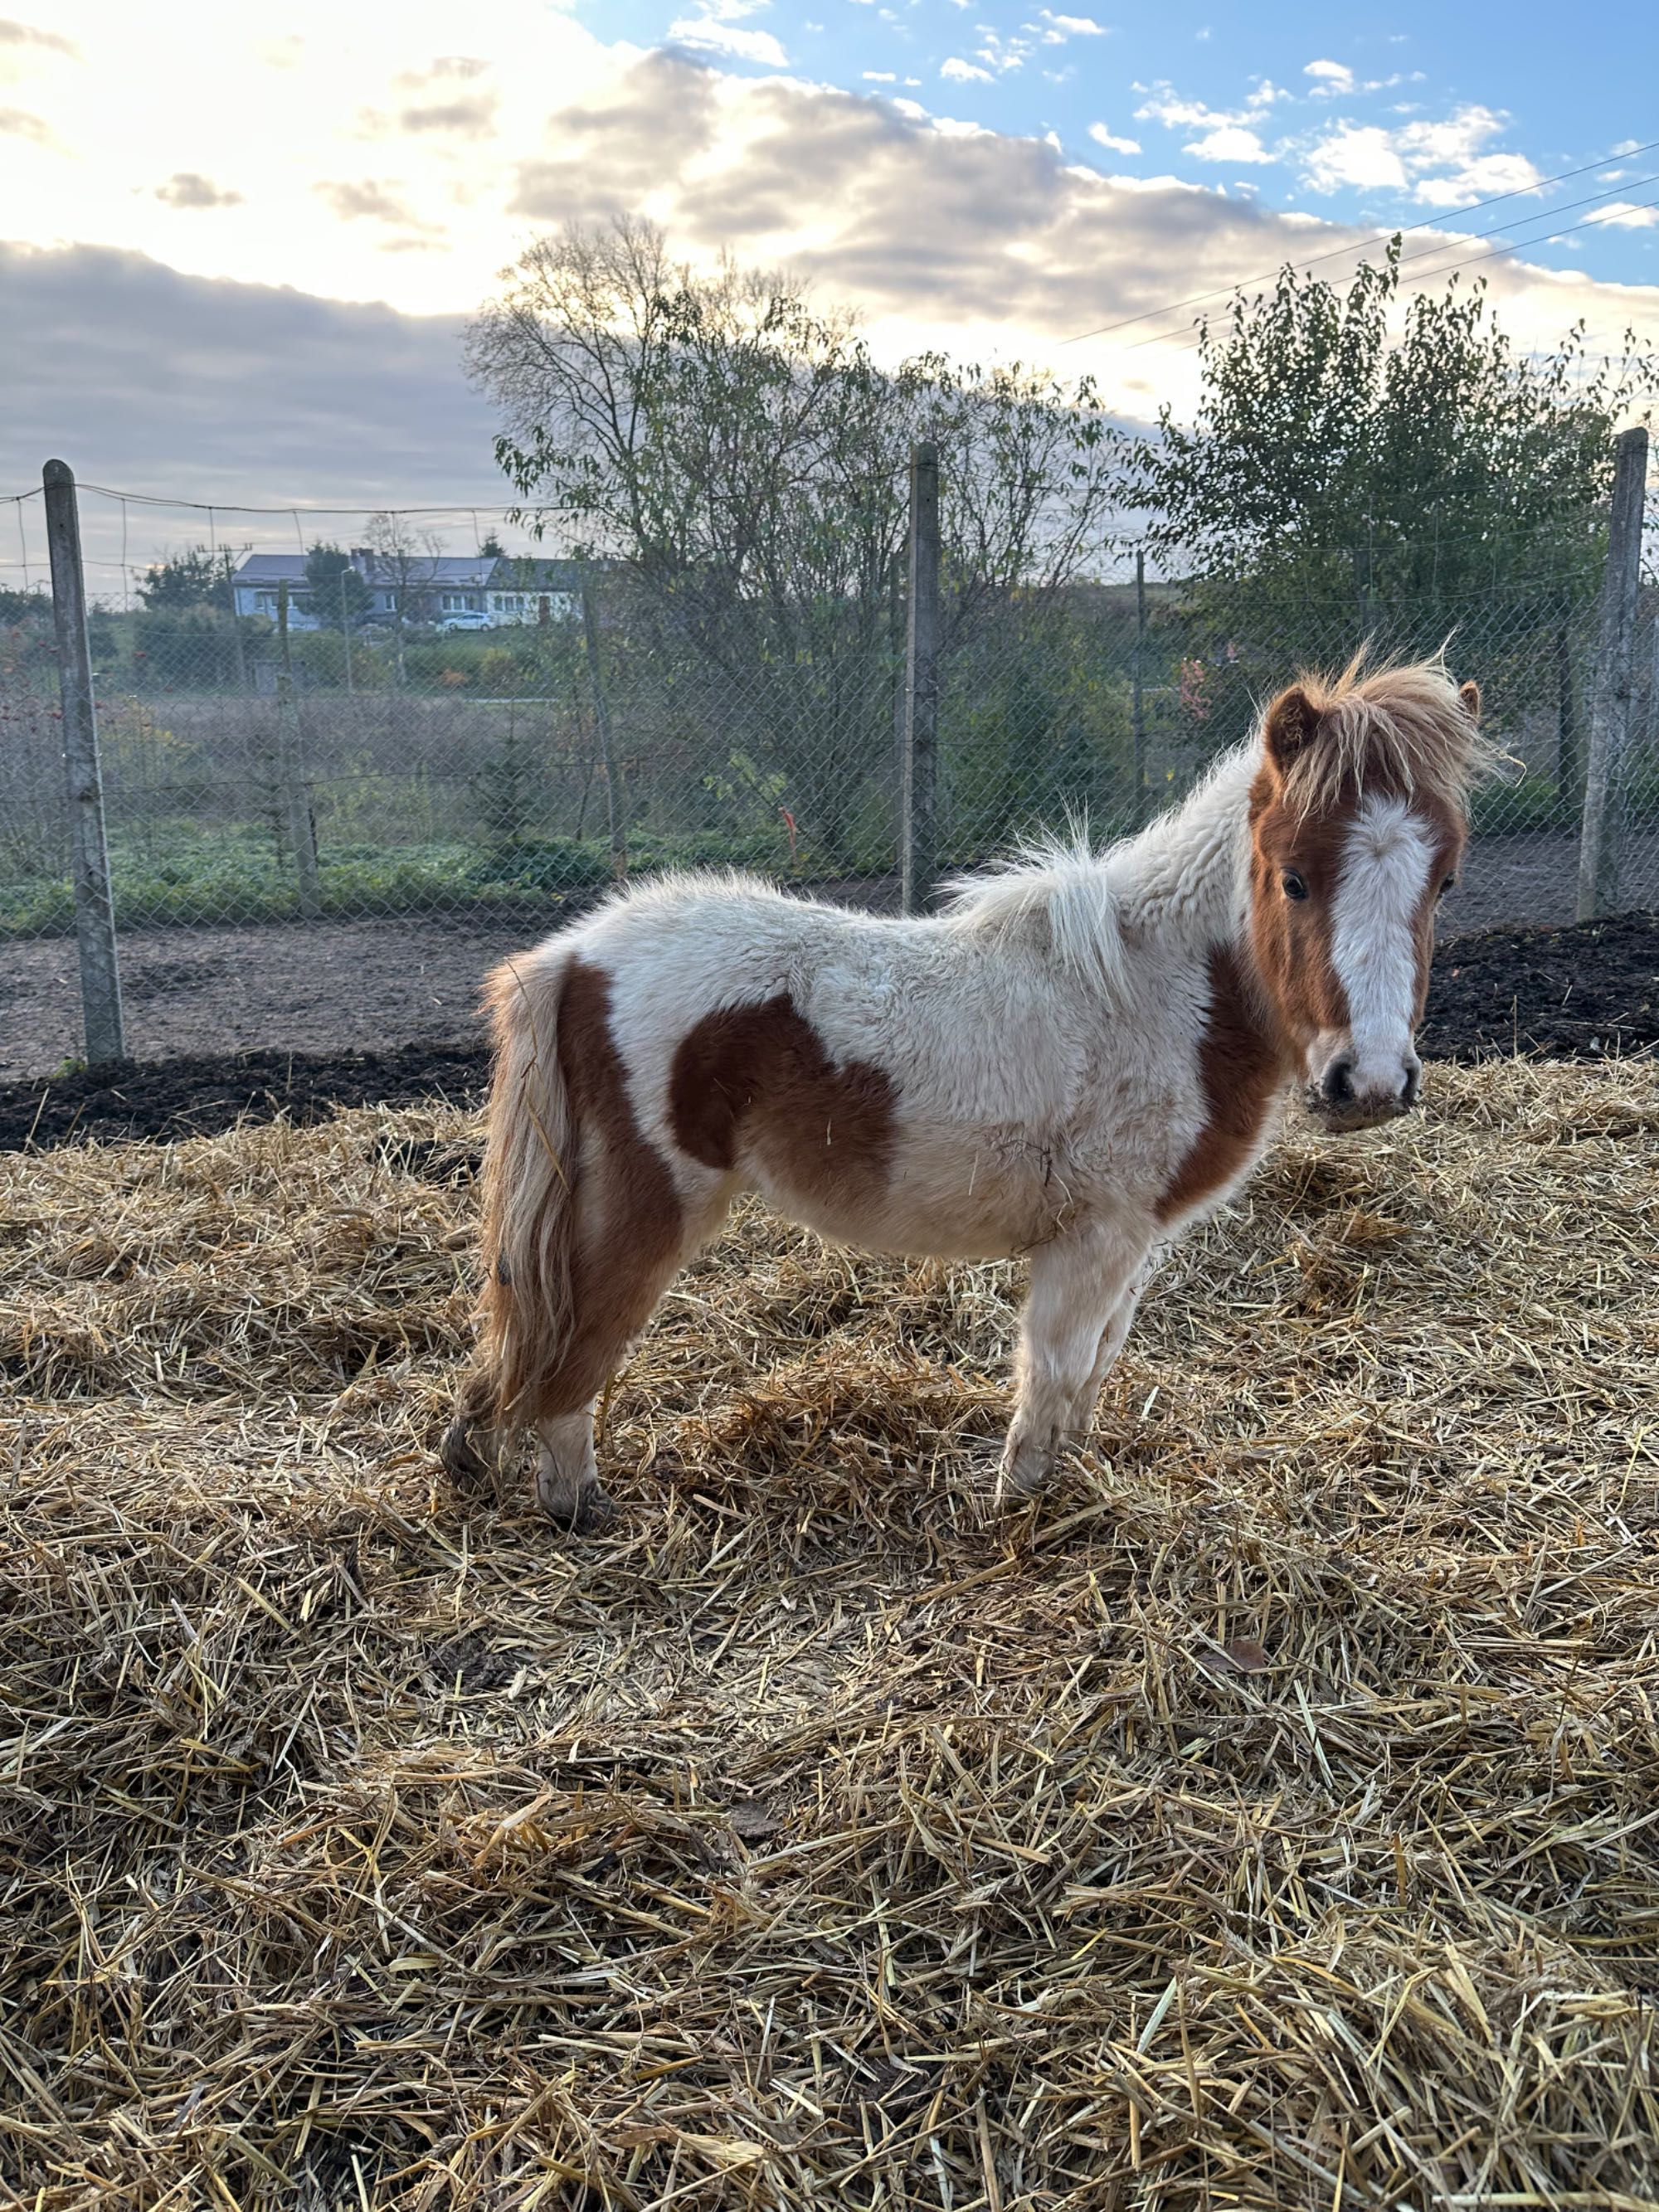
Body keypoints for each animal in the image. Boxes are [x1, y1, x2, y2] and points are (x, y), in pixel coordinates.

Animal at [442, 645, 1495, 1530]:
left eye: (1443, 881)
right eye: (1293, 878)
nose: (1367, 1082)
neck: (1161, 990)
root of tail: (577, 956)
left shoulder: (1130, 1246)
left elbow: (1093, 1371)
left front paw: (1073, 1480)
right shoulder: (1089, 1241)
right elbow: (1052, 1375)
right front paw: (1023, 1511)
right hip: (645, 1212)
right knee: (574, 1349)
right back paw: (577, 1507)